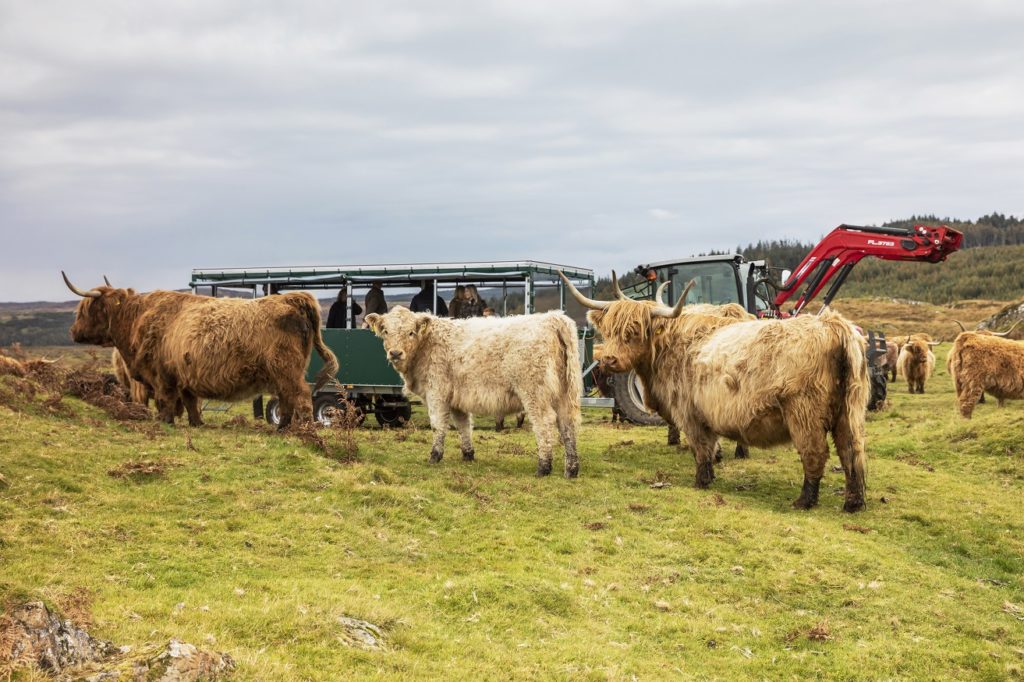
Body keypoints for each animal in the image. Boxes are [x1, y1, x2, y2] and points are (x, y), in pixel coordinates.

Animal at [565, 270, 868, 509]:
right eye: (609, 329)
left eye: (635, 330)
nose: (608, 359)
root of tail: (833, 325)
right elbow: (709, 447)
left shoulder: (690, 412)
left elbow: (702, 448)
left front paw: (702, 481)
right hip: (848, 414)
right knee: (851, 452)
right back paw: (852, 503)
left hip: (804, 414)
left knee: (816, 453)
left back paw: (804, 501)